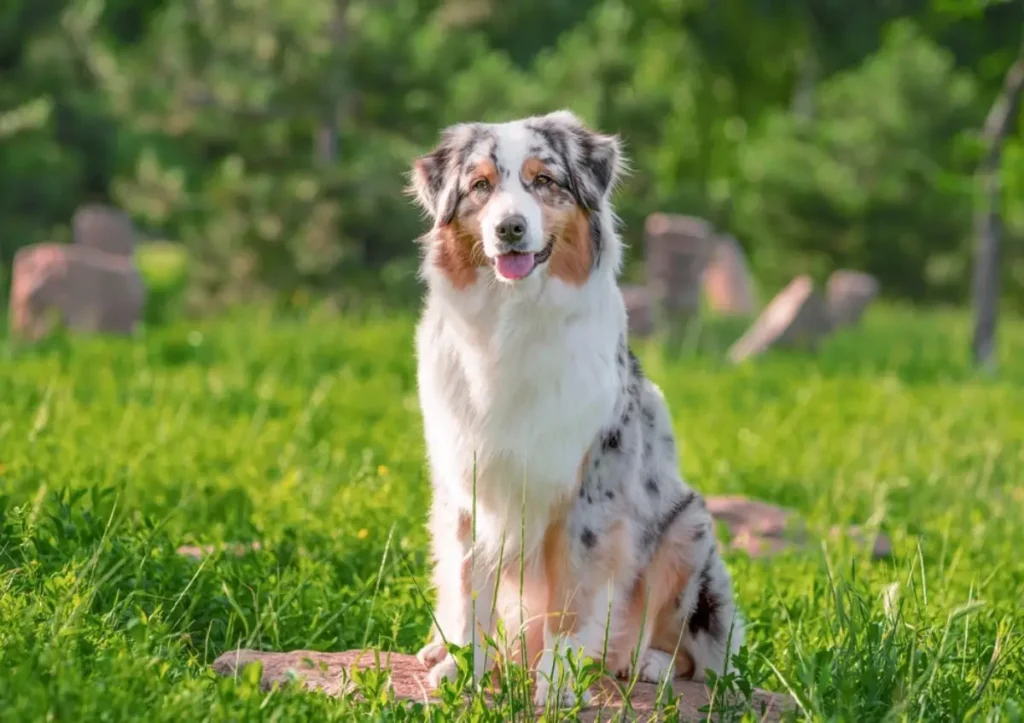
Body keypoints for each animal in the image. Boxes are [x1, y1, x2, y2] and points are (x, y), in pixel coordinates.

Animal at [407, 111, 745, 704]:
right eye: (480, 186)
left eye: (544, 181)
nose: (510, 229)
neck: (511, 322)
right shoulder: (465, 483)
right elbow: (468, 583)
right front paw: (462, 666)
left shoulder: (591, 490)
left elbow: (573, 597)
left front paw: (558, 681)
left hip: (690, 527)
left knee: (698, 655)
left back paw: (644, 662)